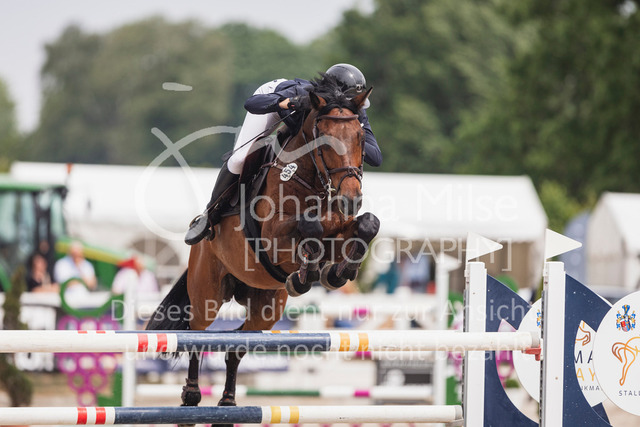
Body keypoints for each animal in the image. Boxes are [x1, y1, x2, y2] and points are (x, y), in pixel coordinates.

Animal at [146, 75, 380, 424]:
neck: (313, 184)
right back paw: (191, 399)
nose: (351, 198)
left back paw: (228, 404)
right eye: (324, 141)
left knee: (238, 344)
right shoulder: (274, 239)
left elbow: (367, 226)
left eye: (361, 138)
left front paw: (338, 273)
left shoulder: (340, 231)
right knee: (196, 334)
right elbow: (309, 229)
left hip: (266, 306)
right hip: (207, 293)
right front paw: (306, 275)